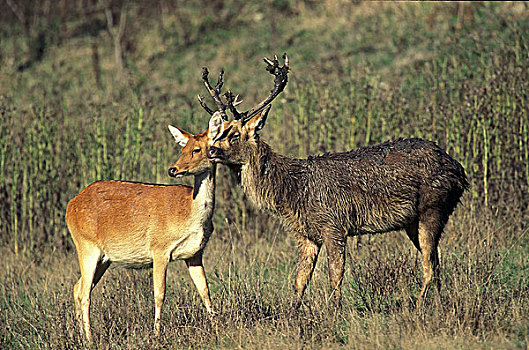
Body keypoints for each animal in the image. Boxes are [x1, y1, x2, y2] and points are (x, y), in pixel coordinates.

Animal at [65, 110, 223, 342]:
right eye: (182, 148)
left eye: (197, 149)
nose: (173, 169)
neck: (189, 214)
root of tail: (71, 205)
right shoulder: (159, 249)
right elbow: (159, 294)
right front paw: (156, 335)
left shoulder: (195, 254)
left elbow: (205, 290)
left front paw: (217, 328)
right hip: (86, 246)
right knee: (85, 293)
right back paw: (90, 339)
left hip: (104, 258)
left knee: (77, 288)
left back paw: (80, 336)